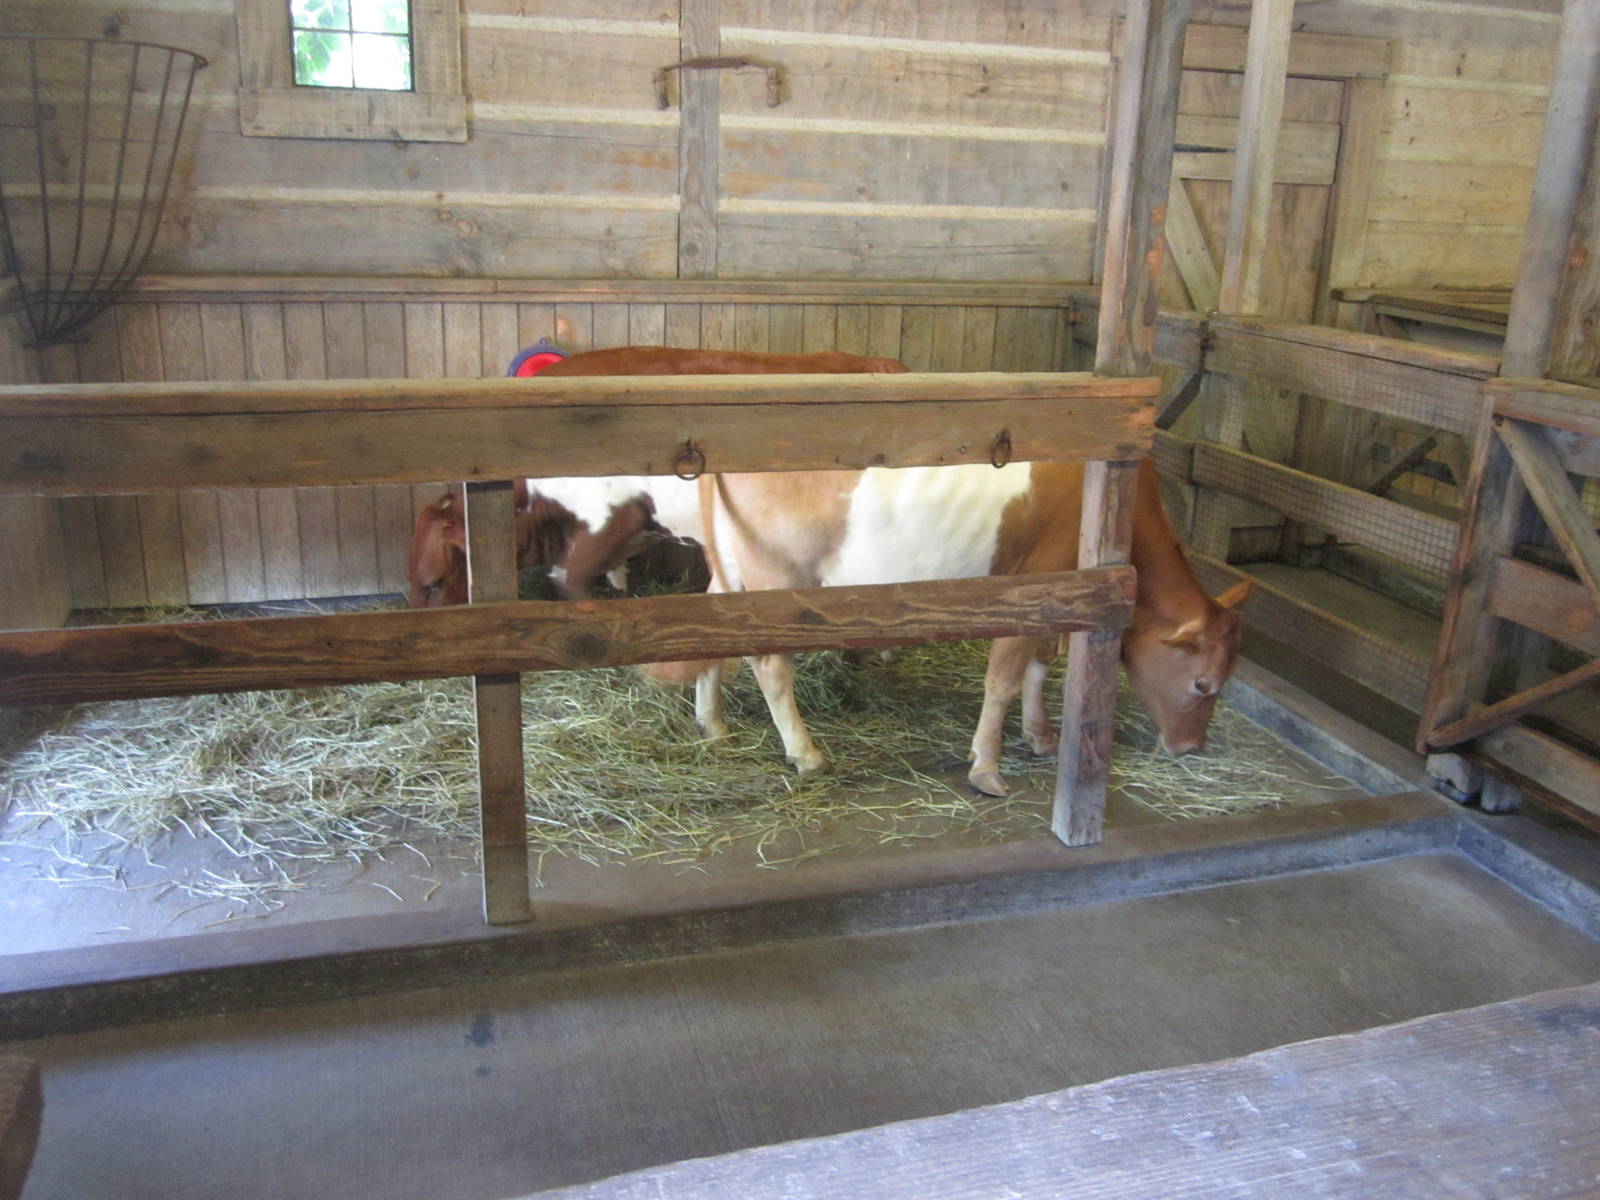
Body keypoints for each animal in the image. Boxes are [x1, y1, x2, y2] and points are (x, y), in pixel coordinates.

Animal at [673, 458, 1255, 797]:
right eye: (1204, 684)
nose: (1189, 747)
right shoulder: (1031, 588)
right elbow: (1002, 680)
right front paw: (986, 766)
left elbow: (1040, 665)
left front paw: (1041, 735)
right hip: (778, 581)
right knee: (772, 666)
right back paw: (806, 754)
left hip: (732, 577)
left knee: (711, 637)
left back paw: (712, 724)